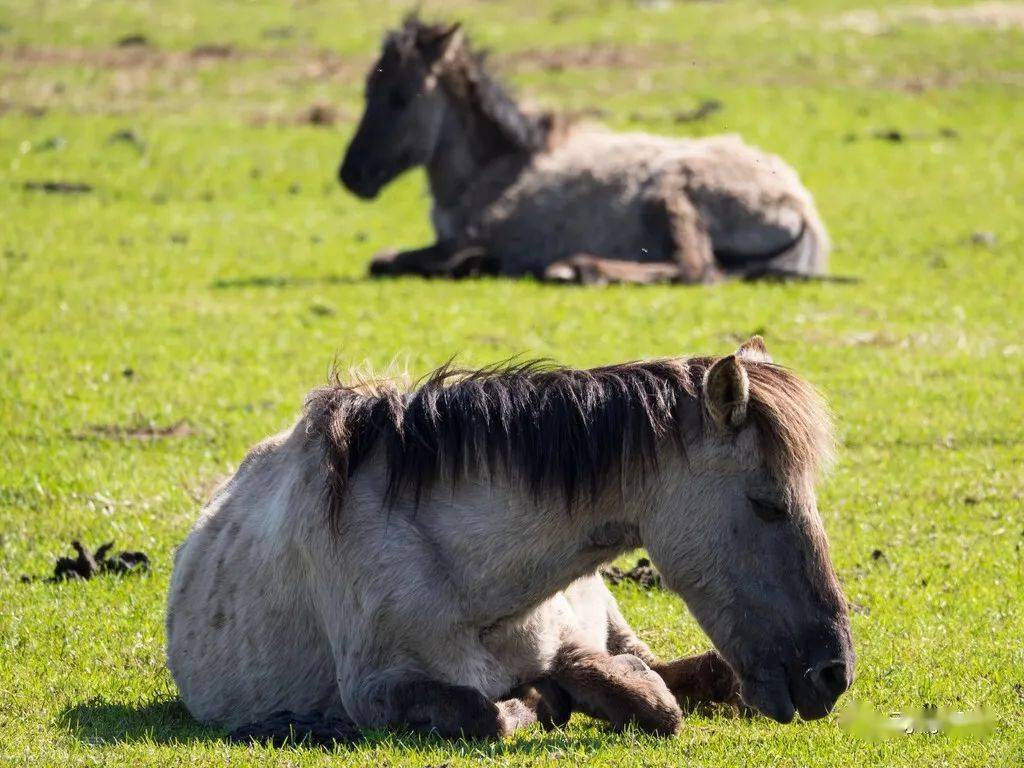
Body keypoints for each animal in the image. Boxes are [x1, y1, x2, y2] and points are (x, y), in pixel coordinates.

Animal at [165, 337, 856, 745]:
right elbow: (489, 715)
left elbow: (643, 697)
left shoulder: (572, 637)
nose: (833, 673)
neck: (466, 582)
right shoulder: (378, 692)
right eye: (766, 503)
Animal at [335, 18, 831, 288]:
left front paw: (474, 263)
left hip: (671, 193)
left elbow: (391, 260)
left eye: (398, 98)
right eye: (367, 91)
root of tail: (802, 208)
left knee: (695, 269)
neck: (494, 170)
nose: (351, 176)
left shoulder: (471, 236)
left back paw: (575, 268)